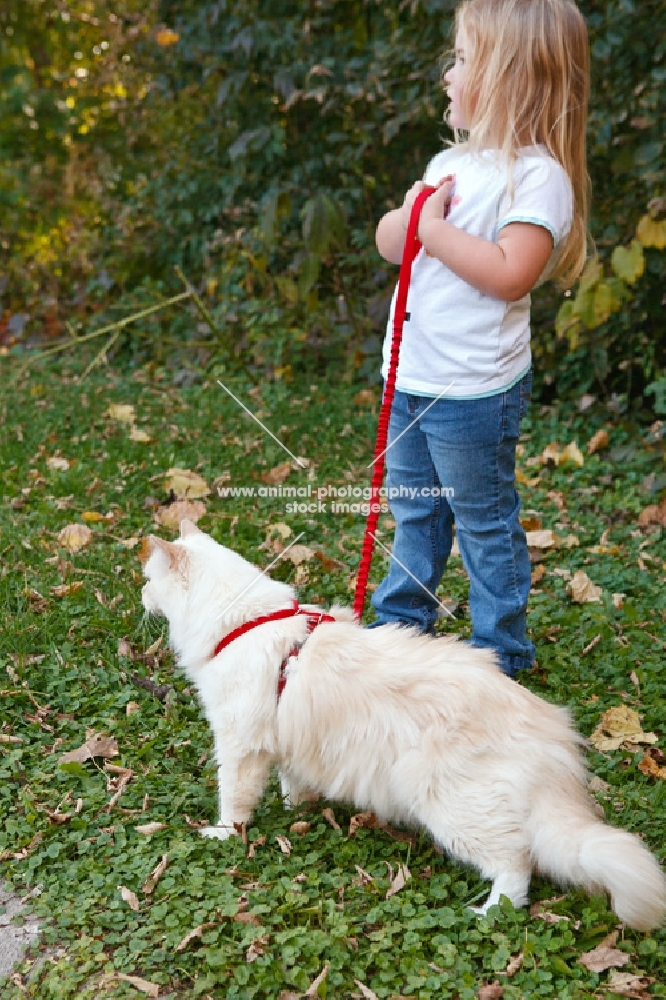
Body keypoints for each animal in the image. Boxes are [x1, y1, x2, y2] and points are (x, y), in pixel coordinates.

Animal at [140, 520, 664, 932]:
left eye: (149, 580)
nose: (140, 594)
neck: (248, 622)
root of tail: (550, 734)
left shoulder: (239, 744)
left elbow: (234, 800)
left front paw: (224, 832)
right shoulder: (284, 741)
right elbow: (294, 785)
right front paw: (296, 810)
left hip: (448, 804)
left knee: (516, 865)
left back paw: (490, 912)